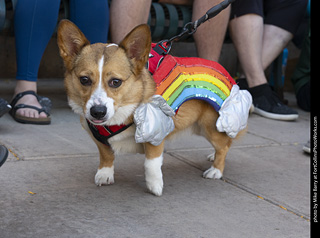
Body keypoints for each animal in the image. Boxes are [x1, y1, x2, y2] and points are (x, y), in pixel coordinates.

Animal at [57, 20, 248, 195]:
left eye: (115, 82)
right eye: (84, 80)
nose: (97, 112)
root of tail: (225, 72)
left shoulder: (155, 134)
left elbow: (151, 163)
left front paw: (155, 186)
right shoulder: (99, 141)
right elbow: (106, 155)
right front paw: (105, 174)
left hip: (210, 126)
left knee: (224, 146)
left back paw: (216, 169)